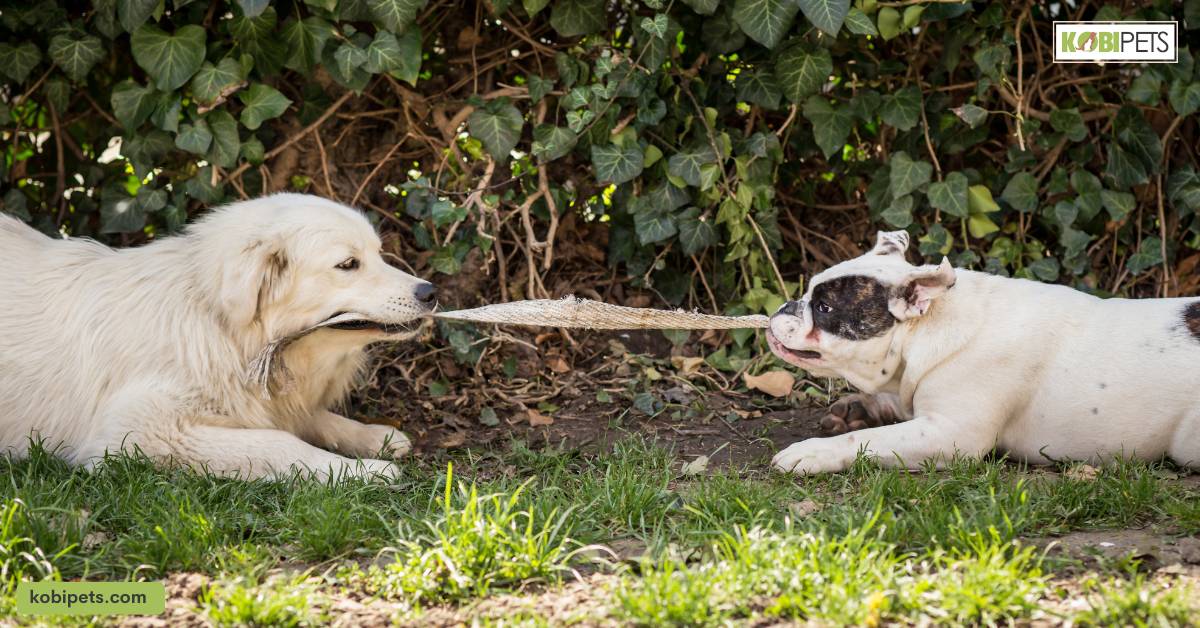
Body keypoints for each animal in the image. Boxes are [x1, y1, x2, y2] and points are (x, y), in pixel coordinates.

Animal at [2, 194, 434, 480]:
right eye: (348, 264)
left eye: (378, 254)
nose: (430, 292)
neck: (221, 327)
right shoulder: (137, 433)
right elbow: (278, 442)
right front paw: (363, 471)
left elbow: (311, 419)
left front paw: (372, 436)